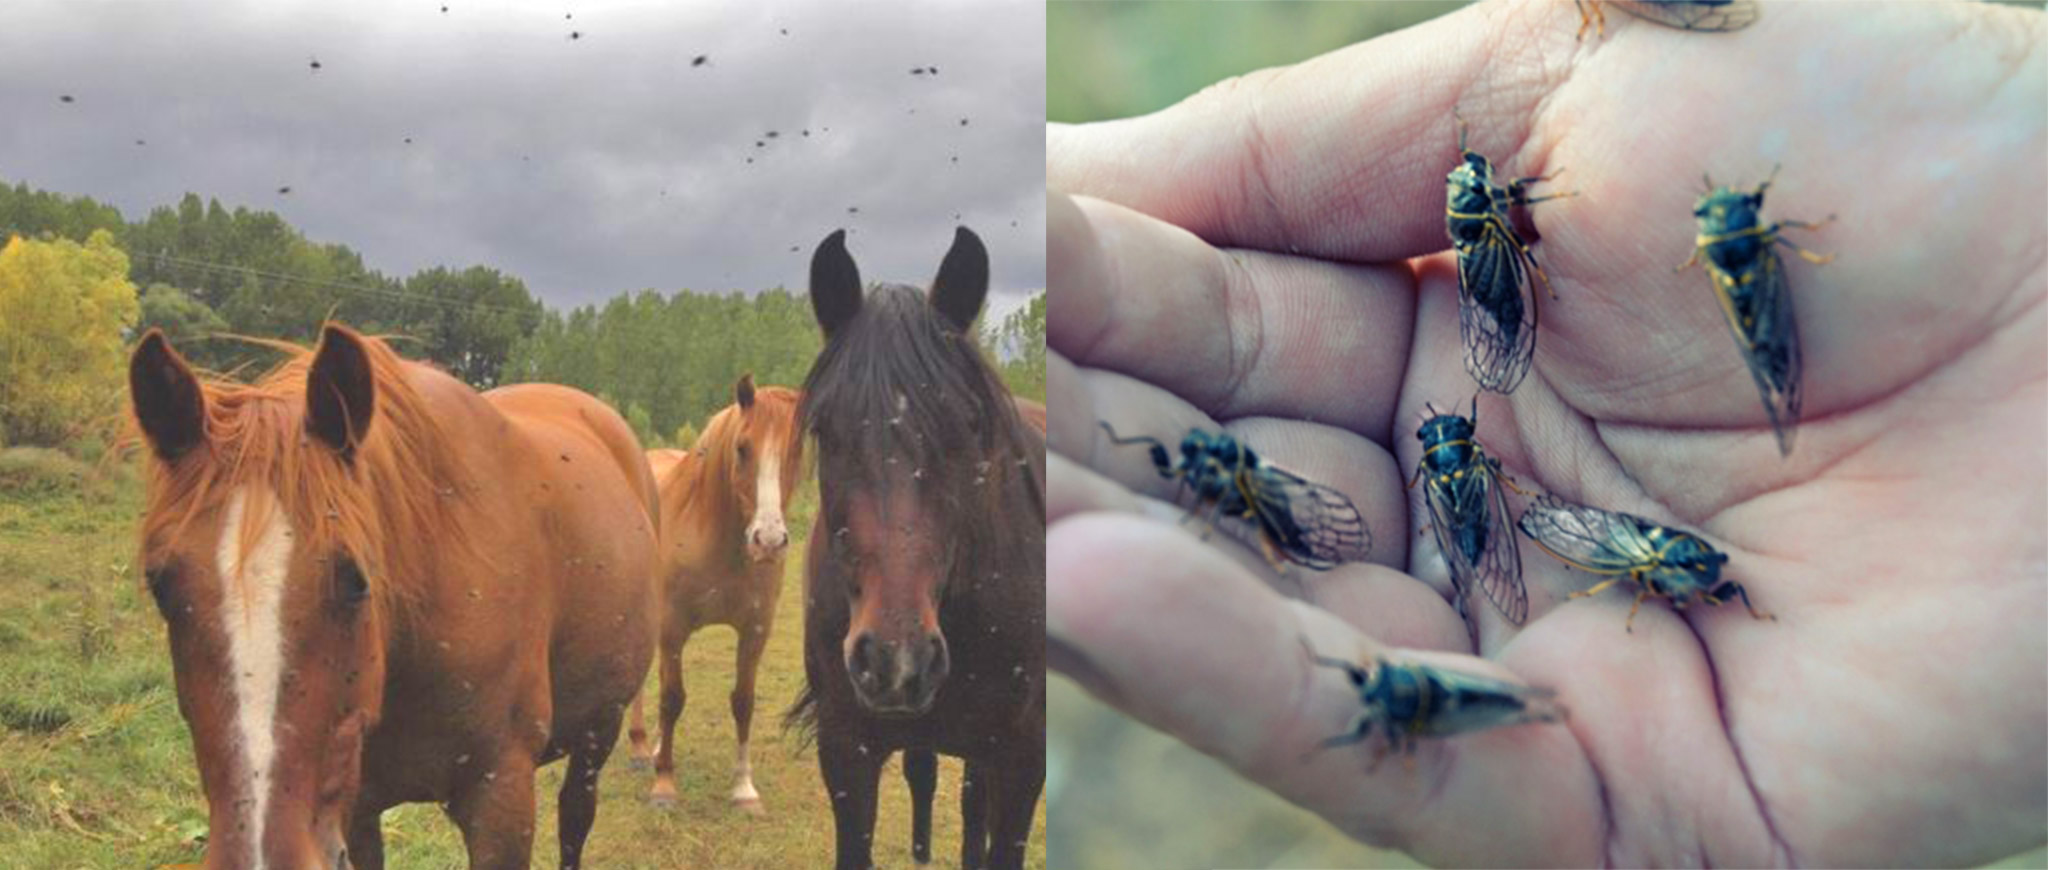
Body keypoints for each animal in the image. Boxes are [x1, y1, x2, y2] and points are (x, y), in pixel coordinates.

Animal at [130, 325, 655, 867]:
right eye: (161, 587)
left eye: (357, 581)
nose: (261, 856)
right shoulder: (358, 809)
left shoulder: (502, 800)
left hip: (599, 730)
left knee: (575, 816)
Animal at [622, 374, 806, 814]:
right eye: (742, 448)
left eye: (796, 449)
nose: (768, 542)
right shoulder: (672, 628)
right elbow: (672, 698)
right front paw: (664, 785)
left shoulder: (755, 631)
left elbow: (743, 701)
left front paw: (744, 789)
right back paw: (640, 748)